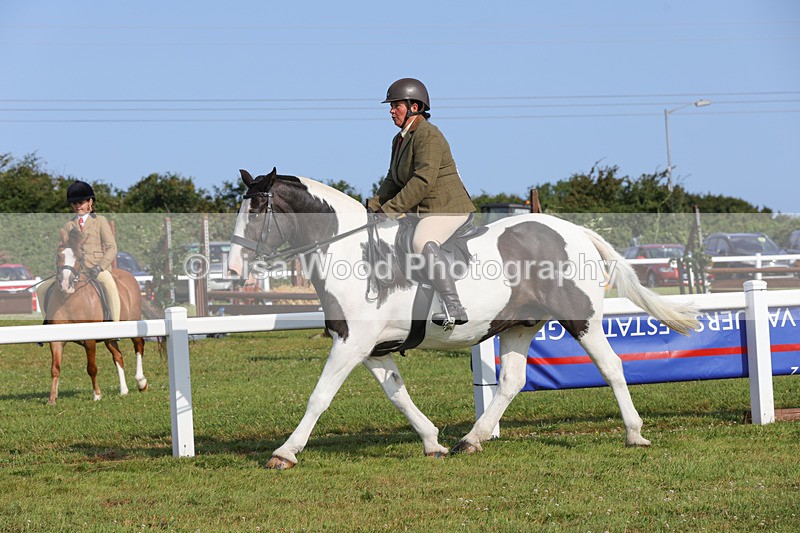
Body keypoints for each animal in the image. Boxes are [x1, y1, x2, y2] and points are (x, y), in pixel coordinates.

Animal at [43, 227, 148, 405]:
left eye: (79, 257)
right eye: (58, 255)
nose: (65, 284)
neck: (69, 299)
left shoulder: (90, 340)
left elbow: (91, 368)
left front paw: (97, 395)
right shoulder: (56, 340)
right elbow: (55, 368)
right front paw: (52, 398)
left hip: (133, 322)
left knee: (138, 346)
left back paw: (141, 382)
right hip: (110, 337)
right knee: (118, 356)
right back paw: (124, 390)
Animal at [227, 168, 699, 469]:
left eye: (258, 211)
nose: (232, 270)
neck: (350, 251)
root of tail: (573, 230)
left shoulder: (352, 343)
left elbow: (319, 397)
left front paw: (285, 452)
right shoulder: (371, 347)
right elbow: (398, 395)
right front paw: (432, 441)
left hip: (580, 318)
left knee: (611, 366)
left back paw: (634, 433)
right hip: (519, 326)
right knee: (512, 381)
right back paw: (471, 440)